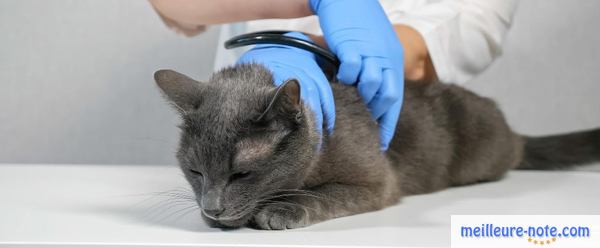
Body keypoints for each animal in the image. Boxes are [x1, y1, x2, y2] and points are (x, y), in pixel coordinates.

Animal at [155, 63, 600, 230]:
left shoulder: (376, 182)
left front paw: (280, 210)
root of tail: (512, 132)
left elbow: (323, 194)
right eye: (195, 172)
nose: (212, 207)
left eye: (242, 173)